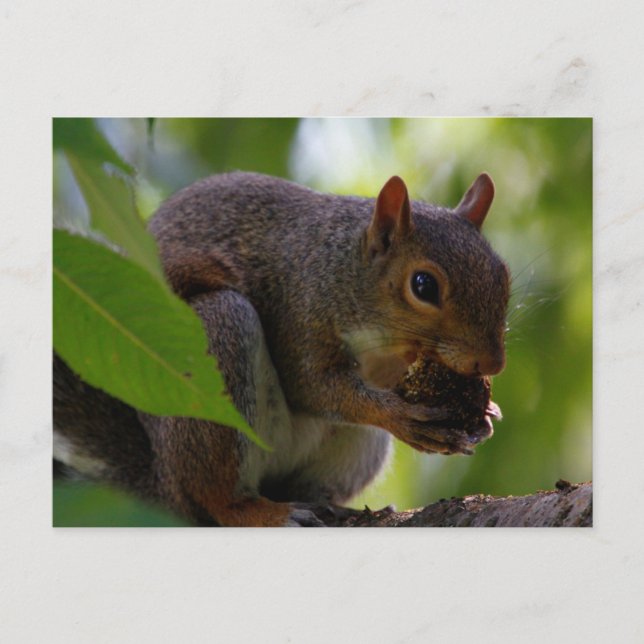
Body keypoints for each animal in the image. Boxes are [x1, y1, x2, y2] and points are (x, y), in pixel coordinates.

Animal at [54, 171, 510, 527]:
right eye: (423, 285)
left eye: (502, 274)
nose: (491, 363)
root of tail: (163, 484)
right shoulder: (298, 308)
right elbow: (310, 385)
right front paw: (400, 416)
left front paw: (485, 412)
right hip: (219, 344)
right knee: (216, 497)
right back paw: (259, 511)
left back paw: (331, 507)